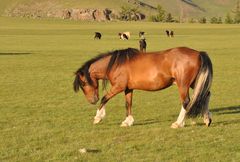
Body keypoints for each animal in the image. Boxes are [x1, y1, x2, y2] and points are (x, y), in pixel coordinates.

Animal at [73, 46, 212, 128]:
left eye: (83, 83)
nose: (92, 100)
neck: (116, 64)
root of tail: (198, 53)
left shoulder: (118, 87)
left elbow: (104, 99)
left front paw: (98, 117)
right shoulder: (128, 89)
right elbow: (128, 104)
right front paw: (127, 121)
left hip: (183, 85)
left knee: (186, 101)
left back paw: (178, 123)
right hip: (194, 83)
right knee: (206, 94)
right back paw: (207, 119)